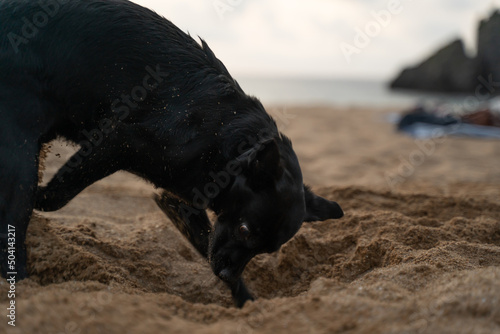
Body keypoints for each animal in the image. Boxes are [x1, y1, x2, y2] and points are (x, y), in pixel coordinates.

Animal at [0, 0, 344, 308]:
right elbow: (59, 193)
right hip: (20, 156)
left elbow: (207, 244)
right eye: (245, 229)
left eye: (266, 250)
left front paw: (245, 300)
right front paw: (43, 197)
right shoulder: (116, 142)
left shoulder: (184, 204)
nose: (225, 273)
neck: (225, 140)